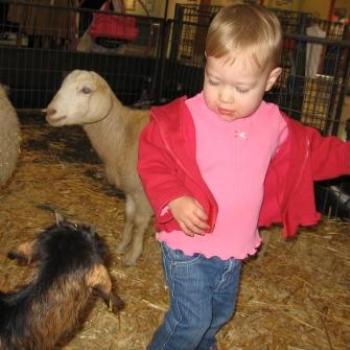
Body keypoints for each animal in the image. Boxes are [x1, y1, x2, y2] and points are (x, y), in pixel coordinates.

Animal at [44, 71, 152, 266]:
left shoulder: (142, 193)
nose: (50, 112)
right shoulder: (130, 189)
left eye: (86, 90)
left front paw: (132, 255)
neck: (122, 135)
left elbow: (140, 224)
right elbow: (129, 216)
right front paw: (122, 246)